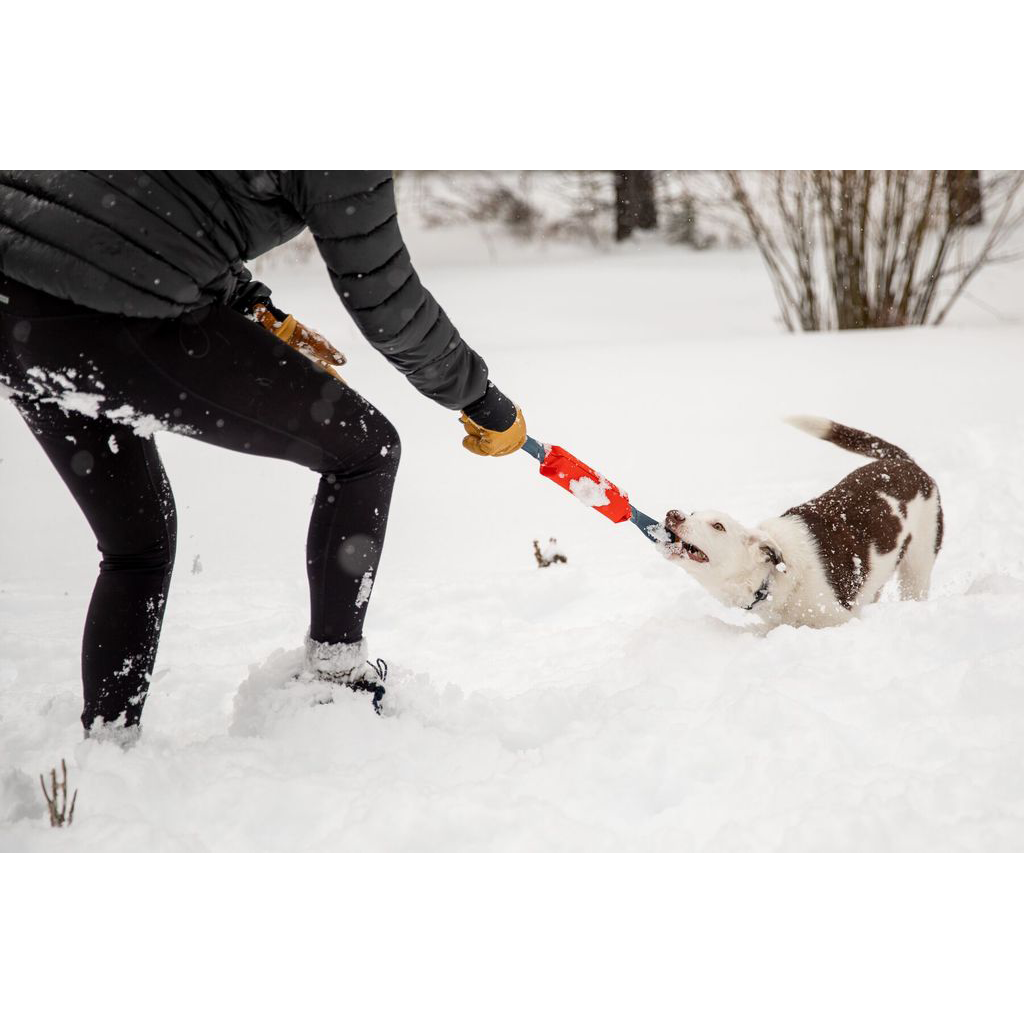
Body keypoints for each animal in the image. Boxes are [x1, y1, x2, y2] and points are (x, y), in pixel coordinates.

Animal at [663, 417, 942, 626]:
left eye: (718, 526)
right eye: (693, 513)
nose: (673, 514)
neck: (774, 576)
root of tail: (904, 462)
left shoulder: (838, 619)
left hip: (917, 566)